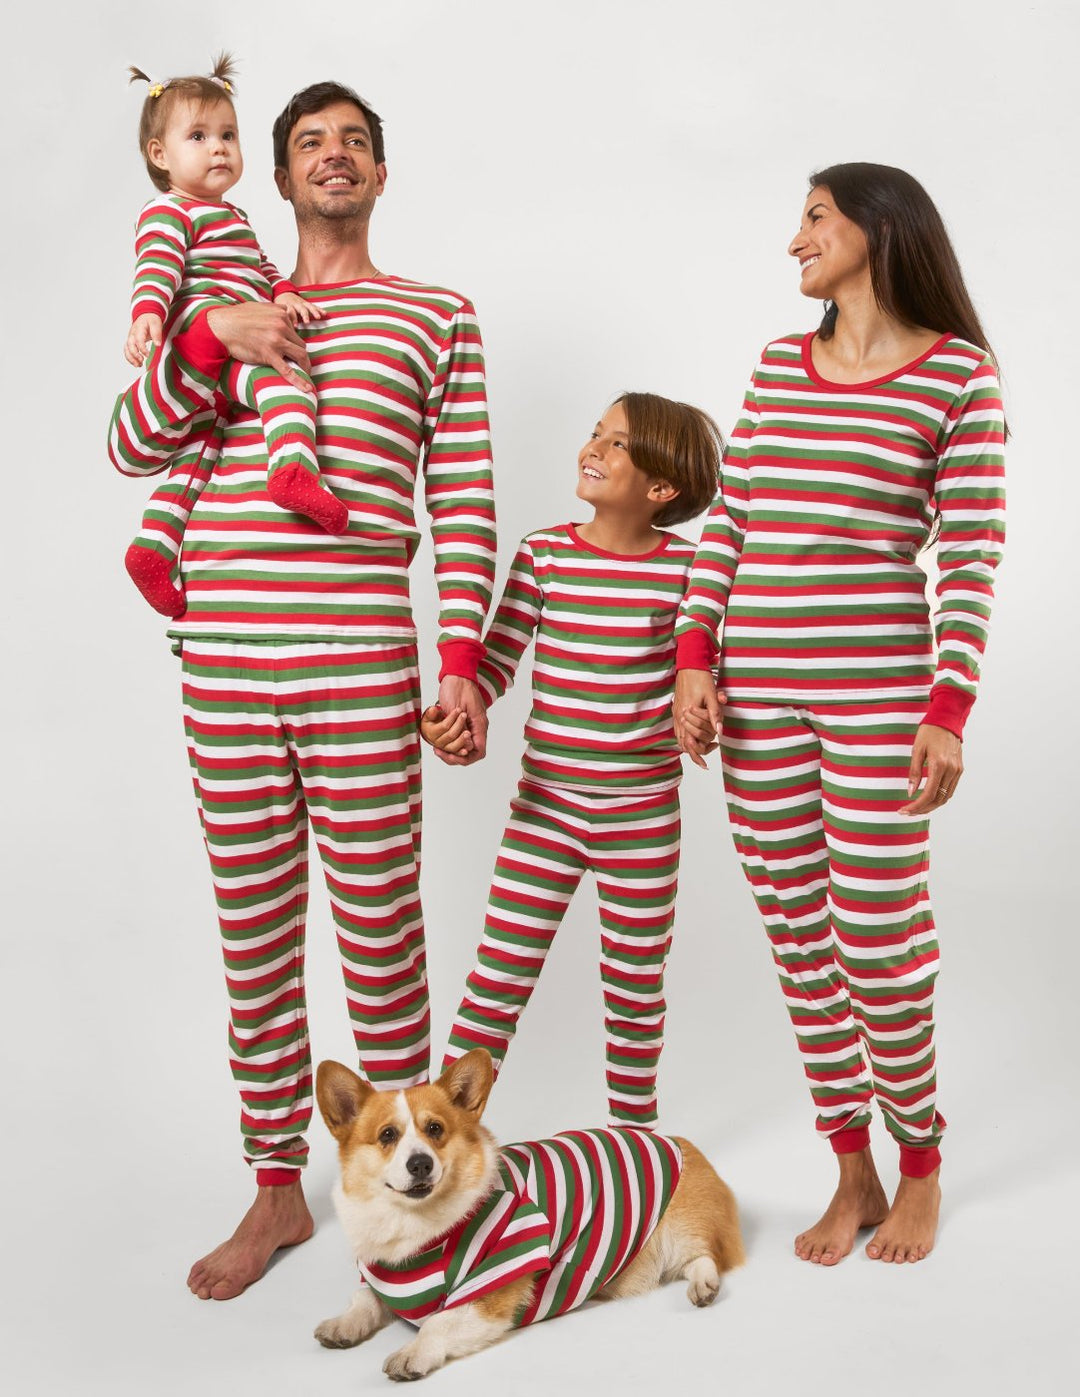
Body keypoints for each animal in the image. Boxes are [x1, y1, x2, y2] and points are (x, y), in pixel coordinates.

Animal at [315, 1050, 743, 1374]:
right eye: (387, 1135)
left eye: (435, 1129)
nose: (420, 1164)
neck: (414, 1225)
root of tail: (677, 1141)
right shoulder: (382, 1279)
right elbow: (363, 1301)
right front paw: (341, 1325)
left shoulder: (492, 1289)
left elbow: (438, 1321)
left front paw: (412, 1354)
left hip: (680, 1227)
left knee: (703, 1255)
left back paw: (704, 1286)